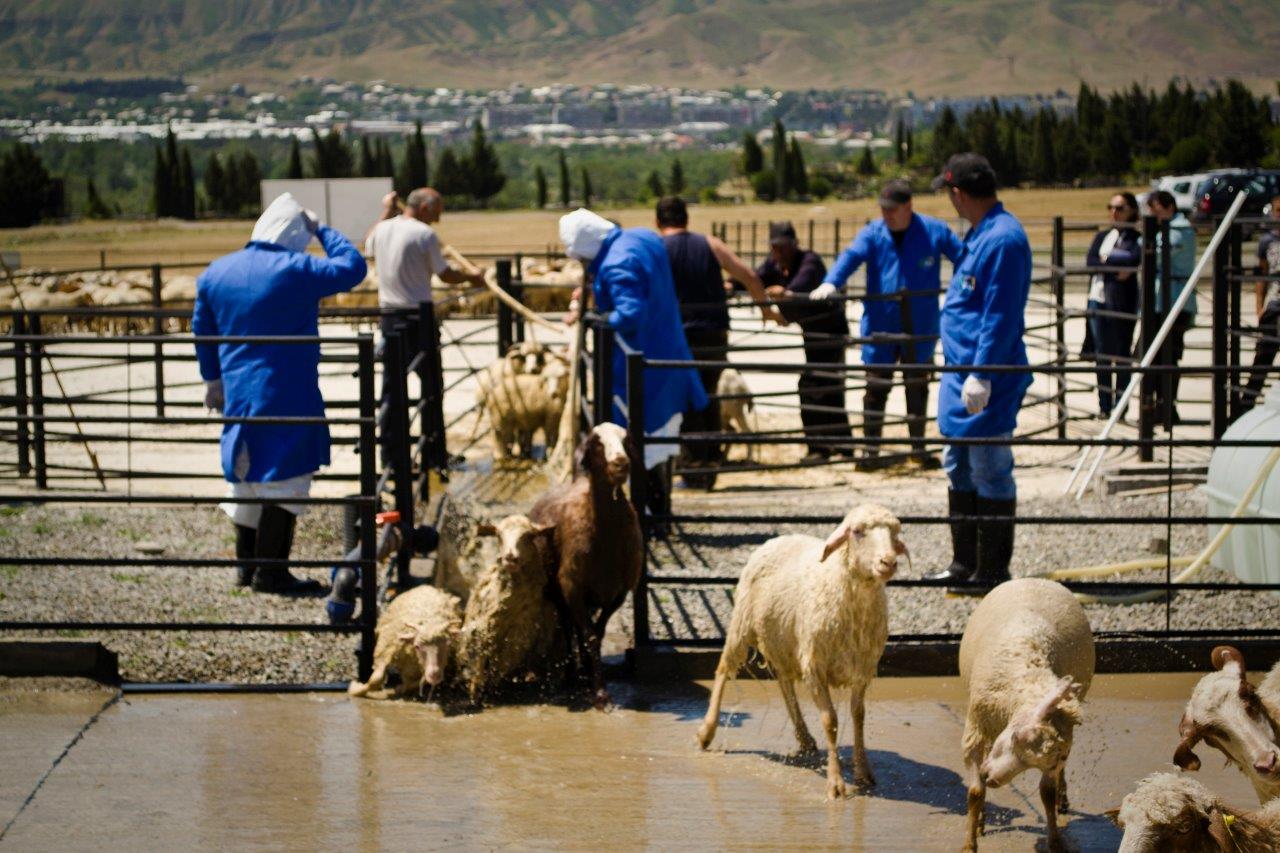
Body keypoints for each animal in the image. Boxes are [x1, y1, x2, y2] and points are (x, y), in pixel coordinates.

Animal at [457, 514, 560, 703]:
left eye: (529, 535)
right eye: (498, 535)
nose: (510, 558)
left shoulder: (522, 640)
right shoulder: (484, 632)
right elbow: (479, 669)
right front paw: (475, 695)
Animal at [529, 422, 643, 710]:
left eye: (626, 440)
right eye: (596, 443)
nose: (620, 463)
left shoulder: (618, 592)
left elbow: (596, 635)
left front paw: (594, 681)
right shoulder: (572, 588)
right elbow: (589, 636)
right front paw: (601, 695)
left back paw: (582, 673)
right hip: (558, 591)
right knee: (568, 627)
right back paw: (571, 675)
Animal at [696, 503, 907, 799]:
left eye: (895, 533)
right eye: (857, 531)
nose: (888, 562)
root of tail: (780, 537)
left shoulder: (862, 669)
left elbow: (859, 717)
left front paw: (863, 772)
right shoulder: (815, 666)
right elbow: (830, 721)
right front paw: (835, 783)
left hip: (783, 641)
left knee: (785, 684)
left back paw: (804, 737)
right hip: (742, 623)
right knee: (724, 670)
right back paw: (707, 731)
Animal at [958, 577, 1095, 852]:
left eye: (1041, 762)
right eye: (1016, 738)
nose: (993, 779)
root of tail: (1035, 579)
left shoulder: (1056, 756)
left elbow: (1047, 793)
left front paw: (1055, 841)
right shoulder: (976, 728)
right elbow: (975, 792)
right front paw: (969, 843)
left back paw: (1063, 798)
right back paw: (982, 819)